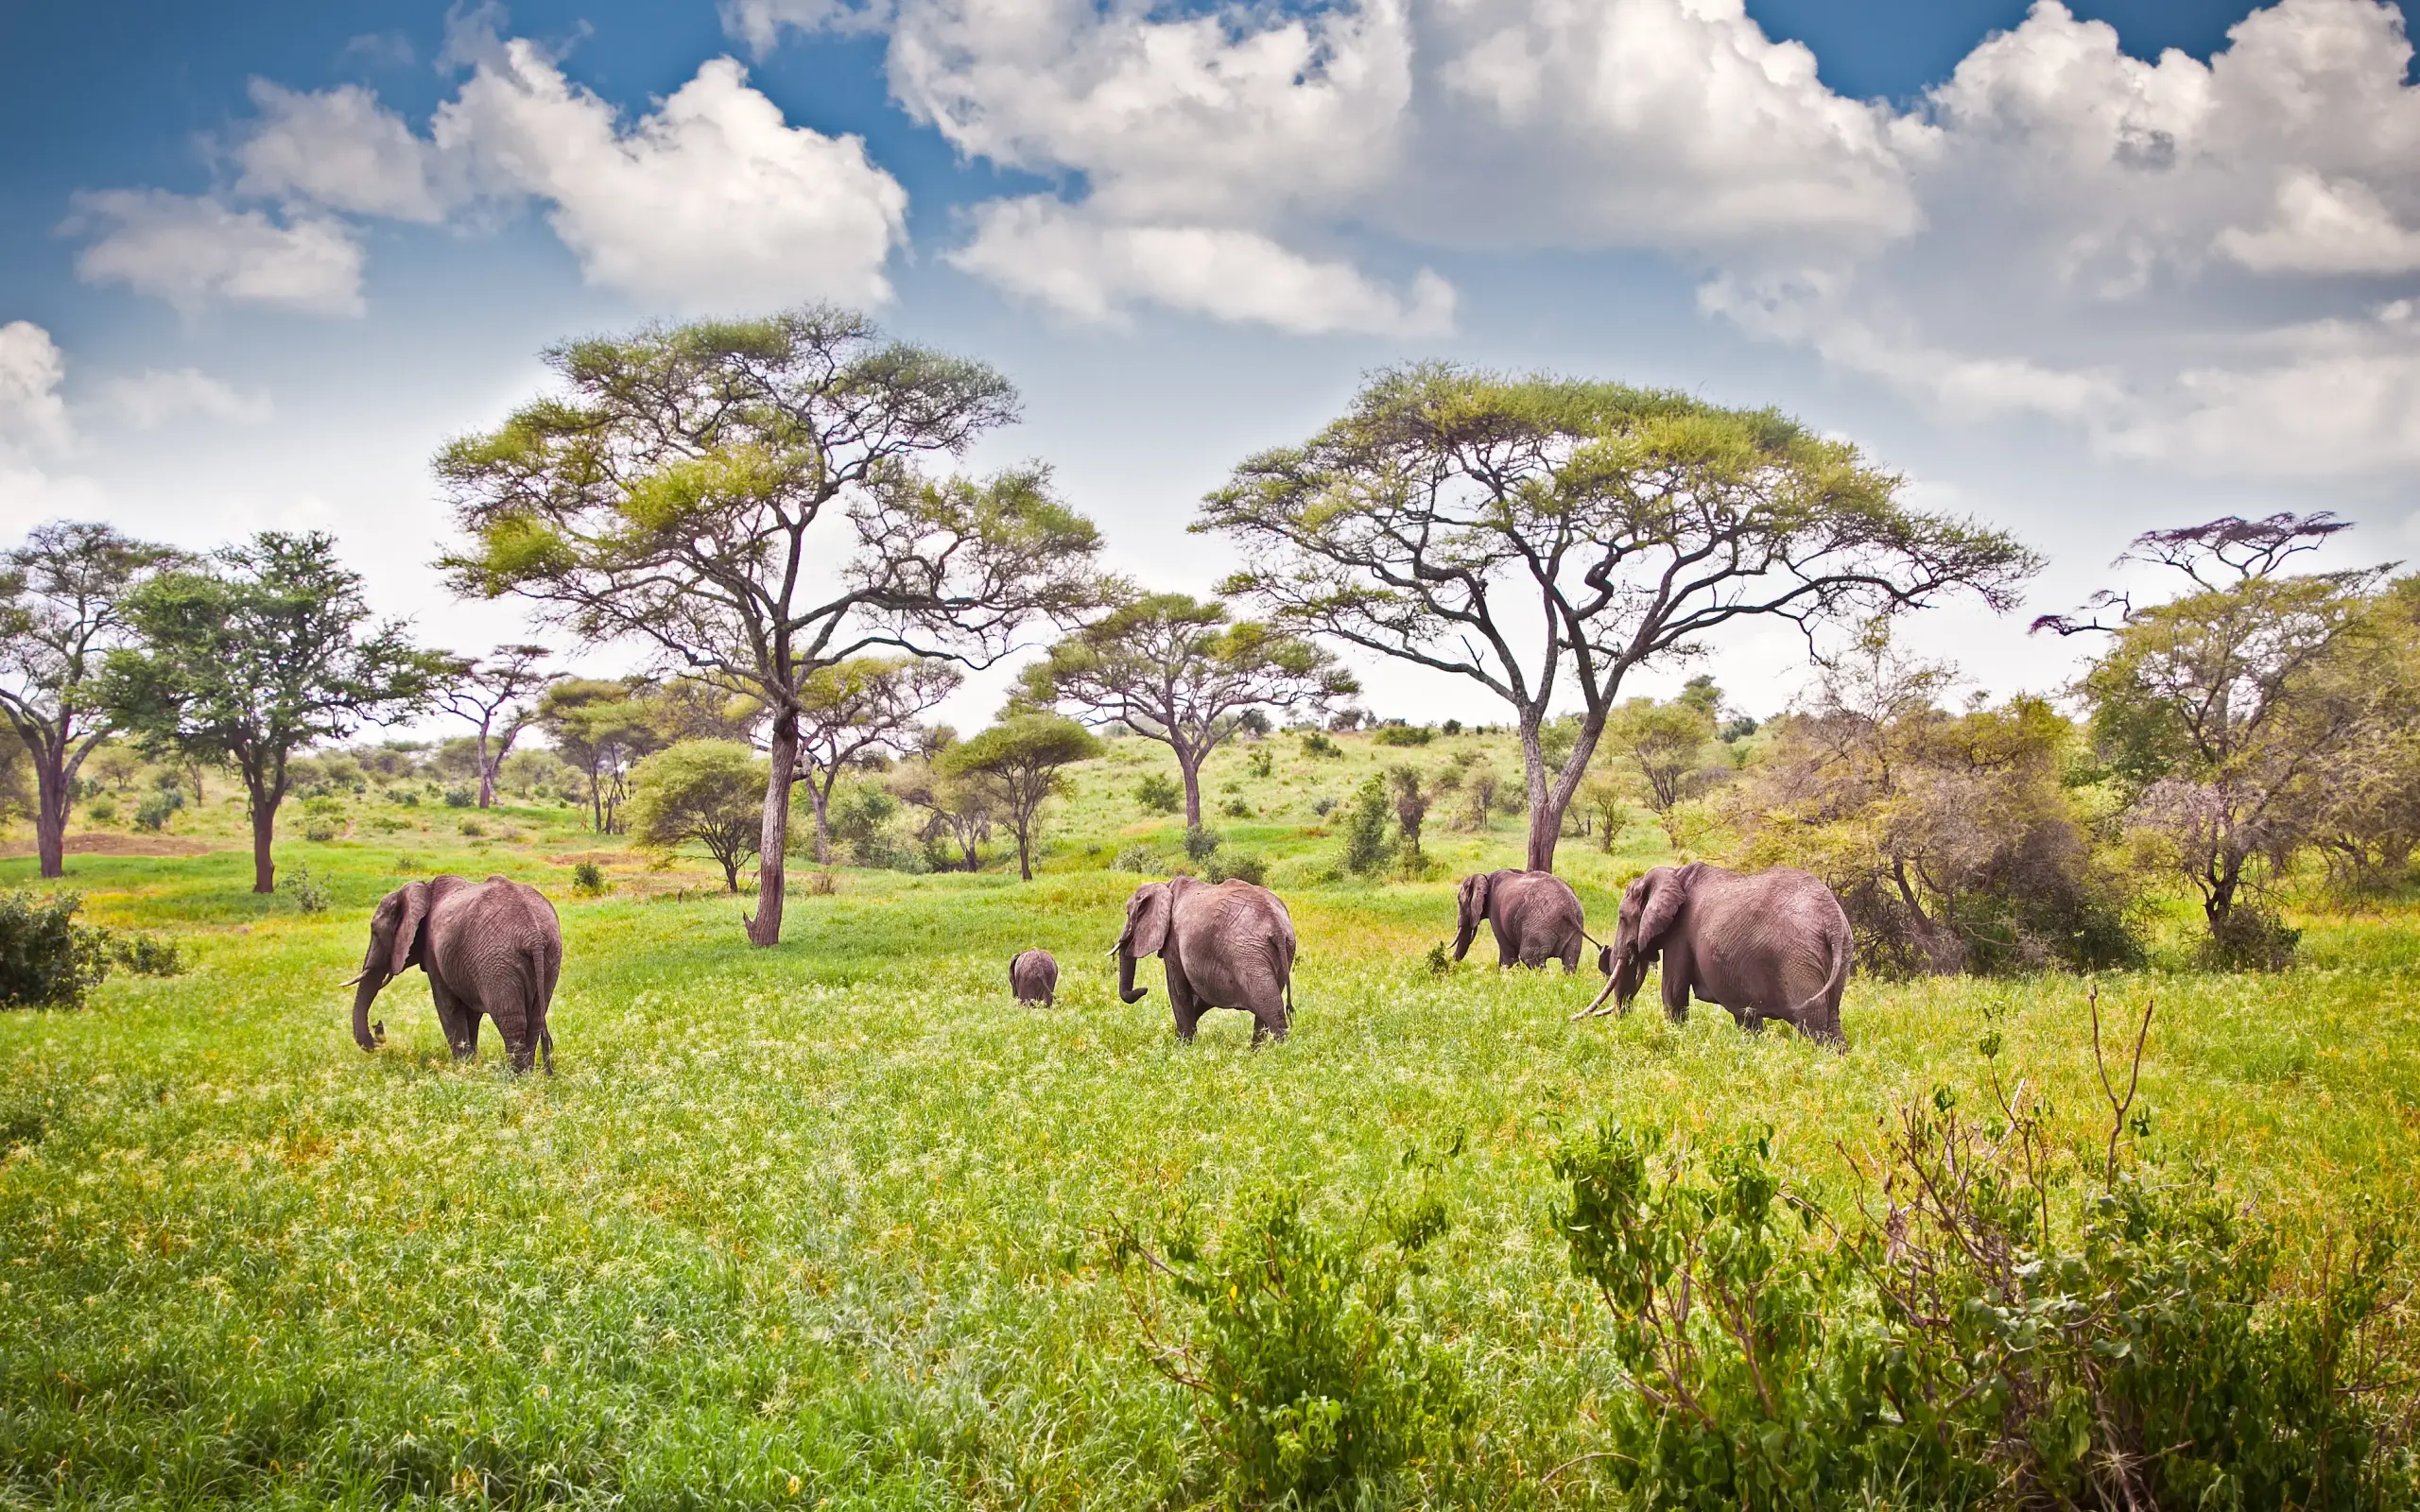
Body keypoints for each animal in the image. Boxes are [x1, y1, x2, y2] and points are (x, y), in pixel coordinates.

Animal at [348, 875, 563, 1072]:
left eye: (375, 932)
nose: (378, 1029)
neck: (424, 889)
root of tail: (533, 935)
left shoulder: (435, 953)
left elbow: (447, 1006)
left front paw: (463, 1069)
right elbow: (472, 1013)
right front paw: (472, 1065)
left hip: (499, 961)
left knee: (510, 1020)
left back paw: (515, 1077)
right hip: (548, 957)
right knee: (535, 1019)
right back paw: (528, 1075)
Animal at [1115, 877, 1297, 1042]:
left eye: (1128, 914)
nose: (1144, 989)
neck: (1165, 885)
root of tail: (1276, 925)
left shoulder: (1173, 939)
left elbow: (1178, 989)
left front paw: (1184, 1045)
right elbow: (1203, 995)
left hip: (1249, 954)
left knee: (1269, 1005)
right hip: (1281, 950)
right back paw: (1255, 1051)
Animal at [1452, 868, 1590, 971]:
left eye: (1460, 901)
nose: (1452, 966)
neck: (1486, 876)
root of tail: (1568, 908)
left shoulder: (1495, 910)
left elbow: (1507, 951)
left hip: (1540, 925)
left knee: (1530, 958)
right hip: (1575, 925)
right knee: (1570, 961)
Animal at [1575, 862, 1851, 1047]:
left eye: (1622, 917)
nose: (1622, 1023)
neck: (1674, 875)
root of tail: (1832, 919)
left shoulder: (1680, 934)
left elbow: (1673, 994)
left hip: (1796, 960)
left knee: (1811, 1024)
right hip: (1841, 955)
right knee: (1832, 1021)